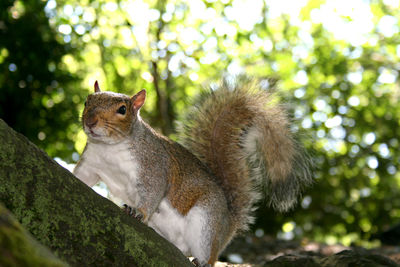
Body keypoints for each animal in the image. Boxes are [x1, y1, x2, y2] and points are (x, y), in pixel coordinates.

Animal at [73, 77, 314, 266]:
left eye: (122, 110)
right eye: (86, 101)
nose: (90, 121)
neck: (110, 149)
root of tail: (229, 222)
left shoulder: (154, 165)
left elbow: (153, 191)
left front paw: (138, 212)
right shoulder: (92, 164)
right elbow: (82, 177)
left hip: (206, 222)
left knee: (209, 253)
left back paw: (203, 262)